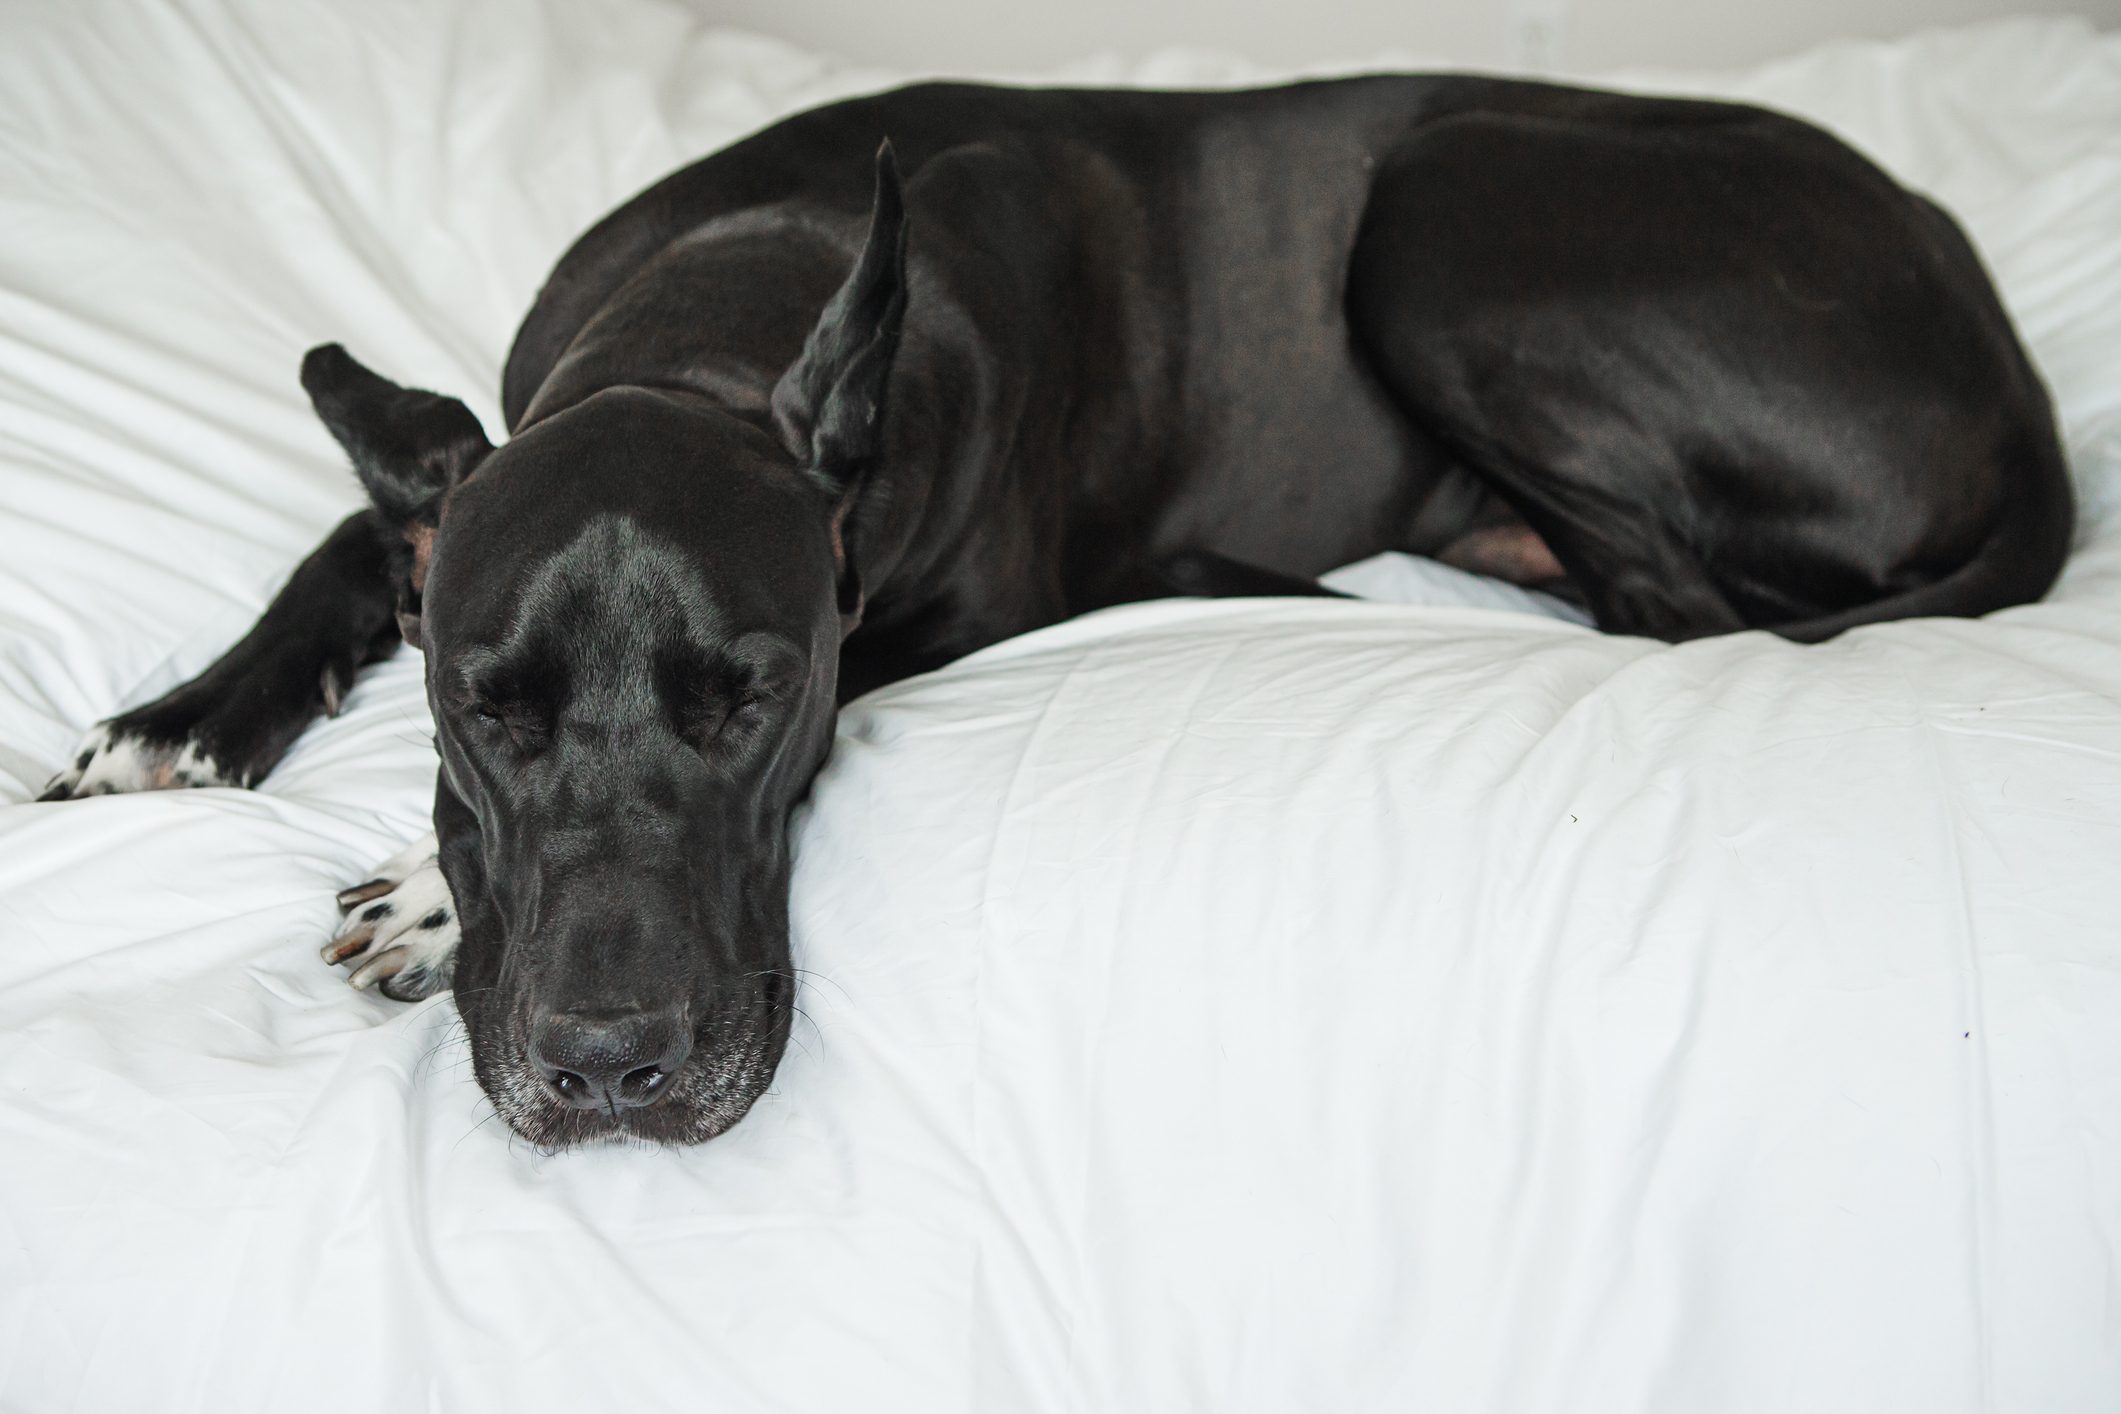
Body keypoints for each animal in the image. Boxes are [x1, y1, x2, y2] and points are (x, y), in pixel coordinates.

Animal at [45, 74, 2070, 1153]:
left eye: (755, 700)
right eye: (484, 710)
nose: (612, 1066)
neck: (719, 321)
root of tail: (2002, 338)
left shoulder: (944, 604)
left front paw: (418, 887)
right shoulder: (460, 480)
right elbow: (356, 529)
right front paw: (182, 718)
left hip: (1437, 210)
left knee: (1654, 601)